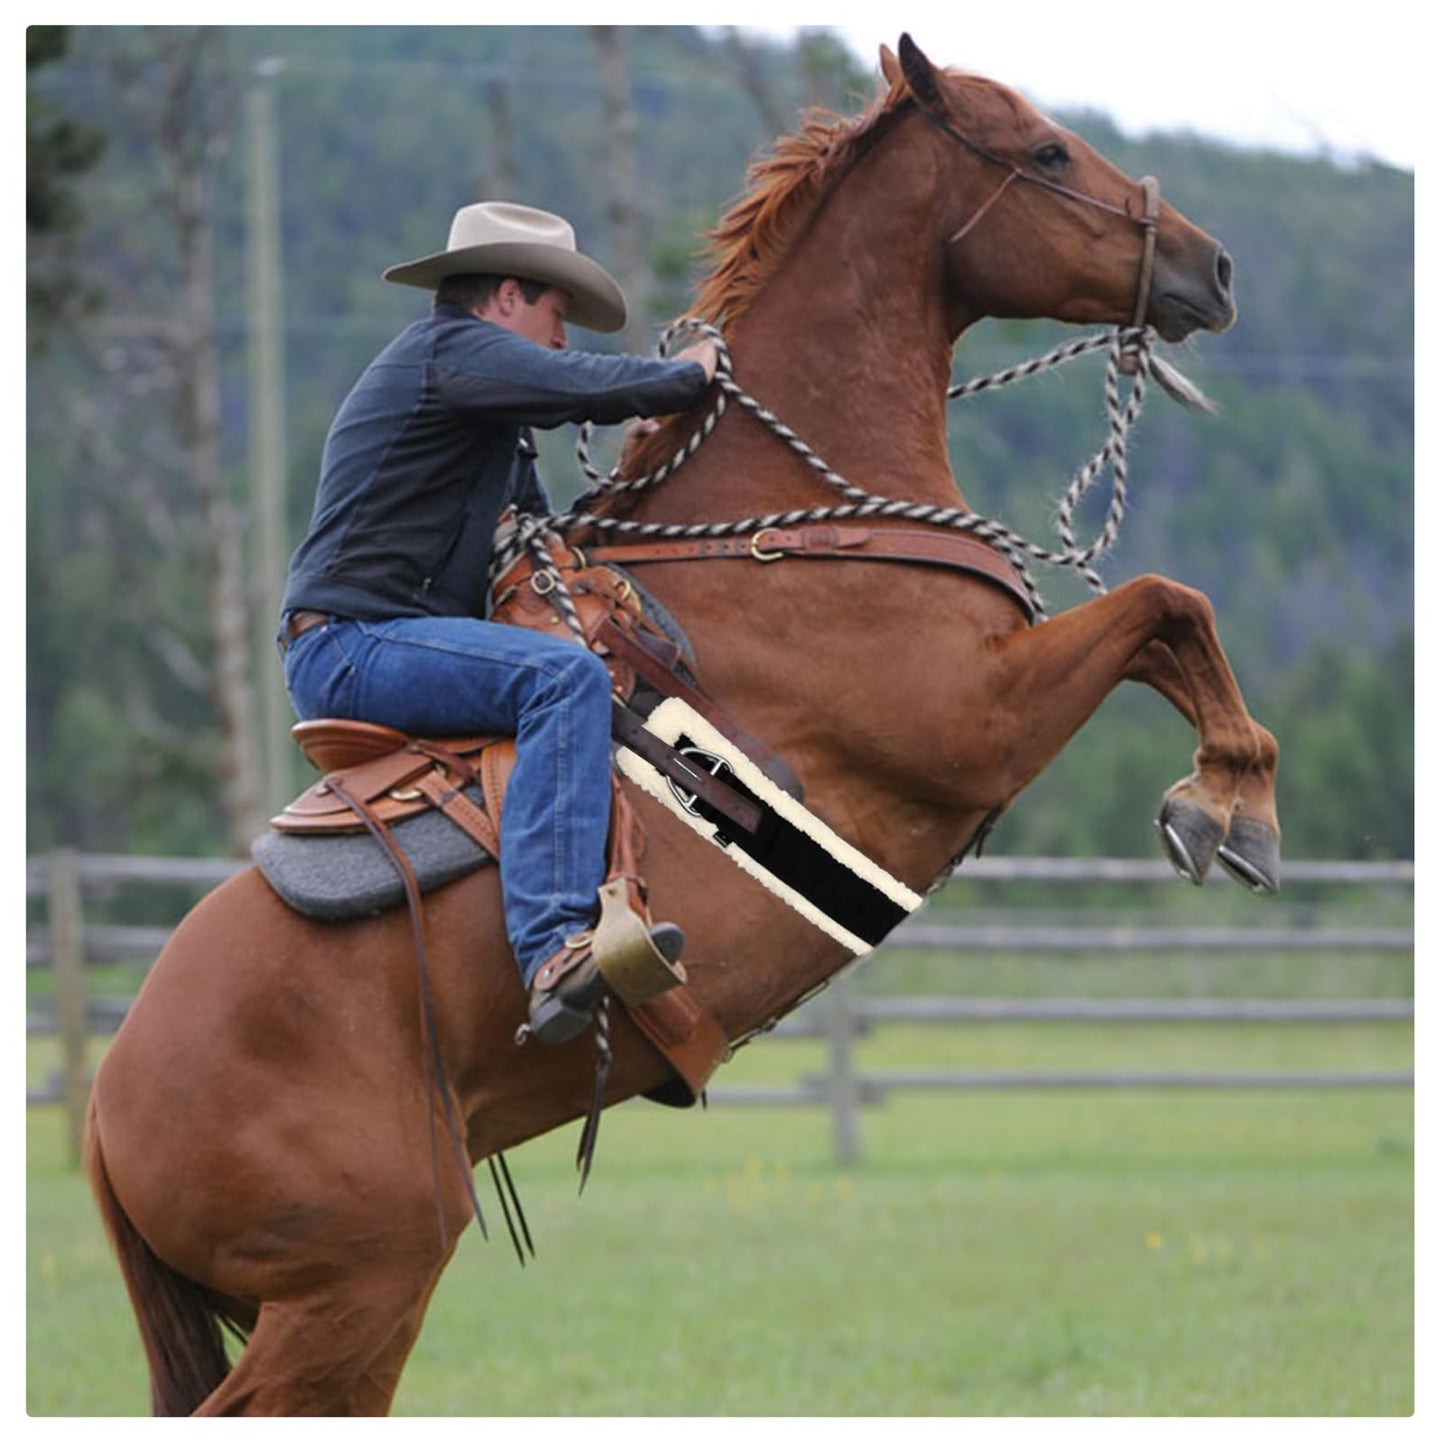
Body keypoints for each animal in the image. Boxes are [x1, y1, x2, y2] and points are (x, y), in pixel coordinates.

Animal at [84, 34, 1275, 1415]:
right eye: (1041, 150)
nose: (1209, 265)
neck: (791, 527)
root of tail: (106, 1103)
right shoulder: (973, 720)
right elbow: (1163, 606)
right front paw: (1226, 804)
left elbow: (1168, 615)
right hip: (356, 1285)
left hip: (354, 1304)